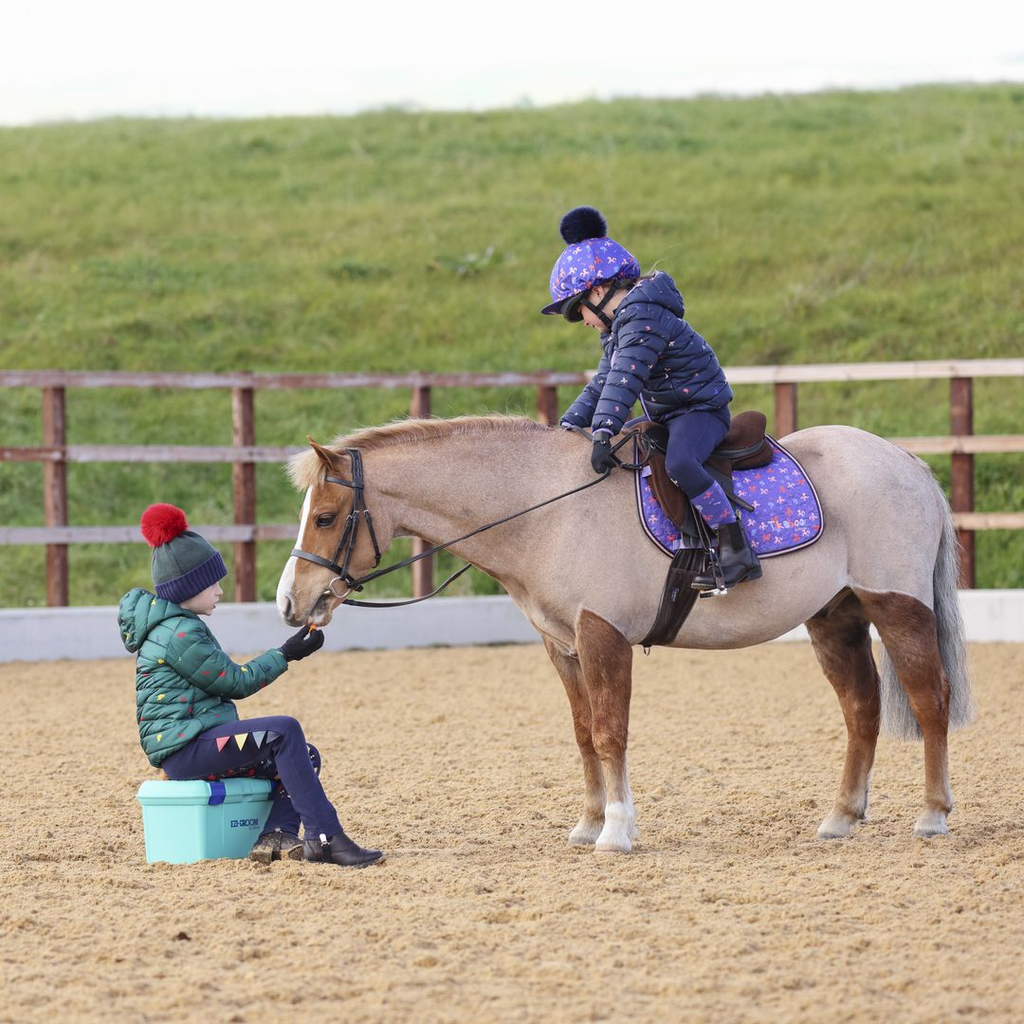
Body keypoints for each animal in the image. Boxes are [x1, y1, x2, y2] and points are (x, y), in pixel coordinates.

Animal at [276, 411, 970, 851]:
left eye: (327, 516)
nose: (291, 602)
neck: (547, 510)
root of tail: (905, 461)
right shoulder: (563, 644)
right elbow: (585, 734)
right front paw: (588, 826)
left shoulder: (602, 633)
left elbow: (611, 732)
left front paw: (615, 831)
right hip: (836, 616)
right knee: (862, 709)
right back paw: (841, 818)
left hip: (896, 605)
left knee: (929, 699)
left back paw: (933, 815)